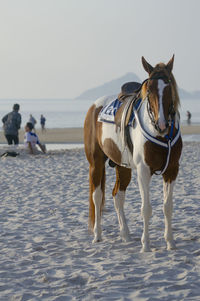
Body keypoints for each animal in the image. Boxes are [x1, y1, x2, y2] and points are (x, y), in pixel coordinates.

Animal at [83, 55, 182, 251]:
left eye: (169, 87)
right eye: (149, 90)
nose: (161, 124)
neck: (161, 135)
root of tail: (94, 106)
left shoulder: (172, 170)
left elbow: (167, 207)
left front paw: (170, 242)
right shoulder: (144, 171)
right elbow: (146, 209)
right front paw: (146, 245)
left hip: (122, 166)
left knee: (117, 196)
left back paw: (126, 234)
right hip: (96, 164)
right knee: (97, 197)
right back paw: (97, 235)